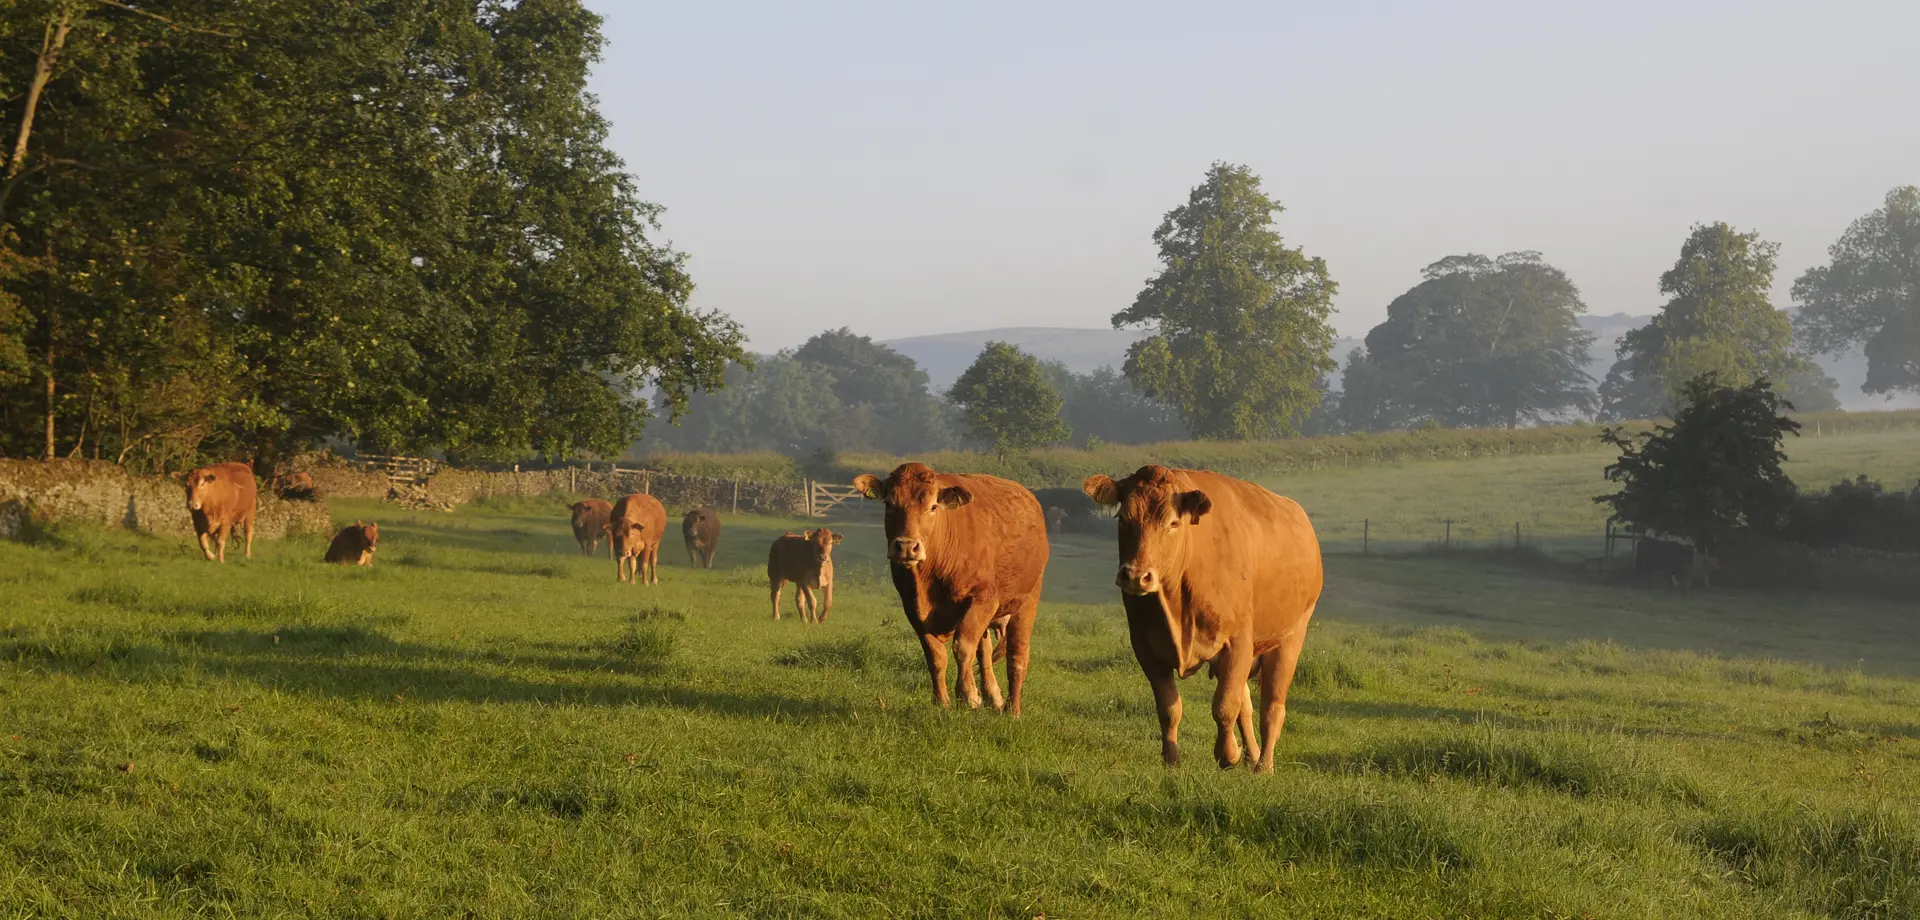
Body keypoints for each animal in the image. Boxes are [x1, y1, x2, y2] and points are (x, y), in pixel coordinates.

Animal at [856, 464, 1052, 718]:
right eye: (889, 504)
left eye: (933, 506)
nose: (906, 546)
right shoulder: (911, 607)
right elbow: (936, 656)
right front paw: (942, 701)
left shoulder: (983, 599)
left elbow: (963, 647)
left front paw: (968, 695)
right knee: (985, 650)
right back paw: (994, 696)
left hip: (1027, 601)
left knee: (1017, 656)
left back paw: (1013, 710)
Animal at [1090, 464, 1328, 775]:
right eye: (1122, 519)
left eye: (1173, 523)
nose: (1135, 576)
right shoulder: (1144, 647)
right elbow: (1170, 708)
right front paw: (1172, 759)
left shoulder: (1238, 643)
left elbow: (1225, 706)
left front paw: (1228, 754)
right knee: (1247, 705)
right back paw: (1252, 754)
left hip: (1289, 639)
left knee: (1272, 707)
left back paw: (1263, 765)